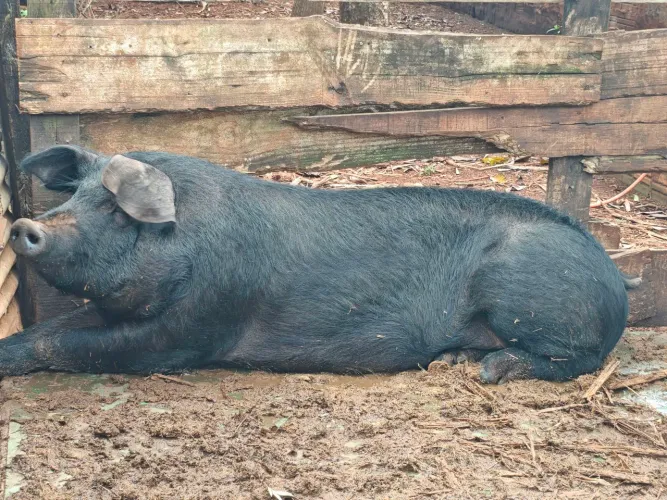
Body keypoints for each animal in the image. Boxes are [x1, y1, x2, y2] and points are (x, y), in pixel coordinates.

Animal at [2, 145, 638, 383]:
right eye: (75, 194)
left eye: (114, 208)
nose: (26, 226)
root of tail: (616, 278)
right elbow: (53, 328)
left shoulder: (194, 326)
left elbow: (71, 344)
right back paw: (454, 359)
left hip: (524, 294)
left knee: (582, 359)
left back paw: (487, 370)